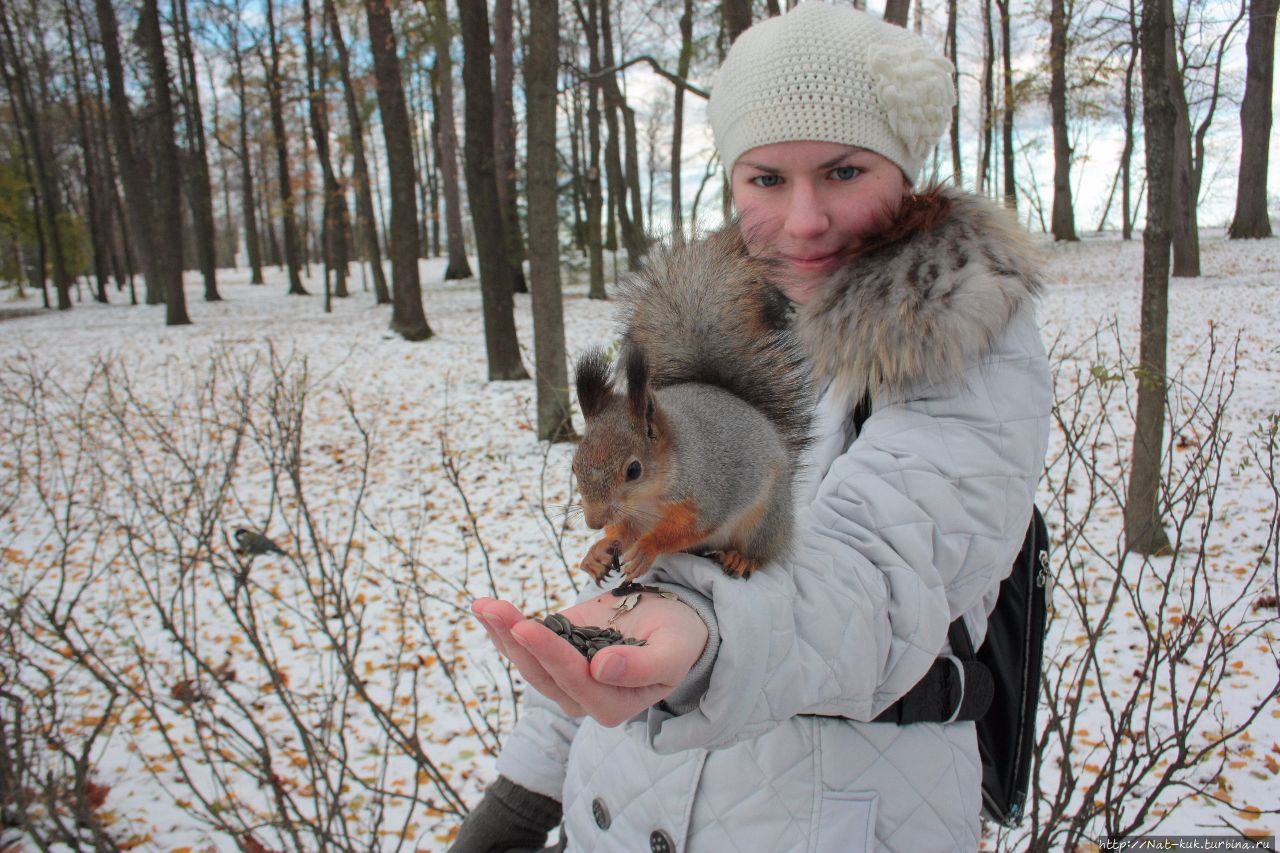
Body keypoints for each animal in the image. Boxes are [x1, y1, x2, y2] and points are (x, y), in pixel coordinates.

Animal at [570, 224, 808, 584]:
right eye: (574, 466)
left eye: (634, 470)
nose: (594, 522)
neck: (649, 499)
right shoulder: (631, 515)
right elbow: (623, 531)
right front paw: (599, 550)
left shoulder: (706, 494)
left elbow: (690, 527)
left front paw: (646, 548)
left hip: (764, 518)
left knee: (761, 549)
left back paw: (743, 558)